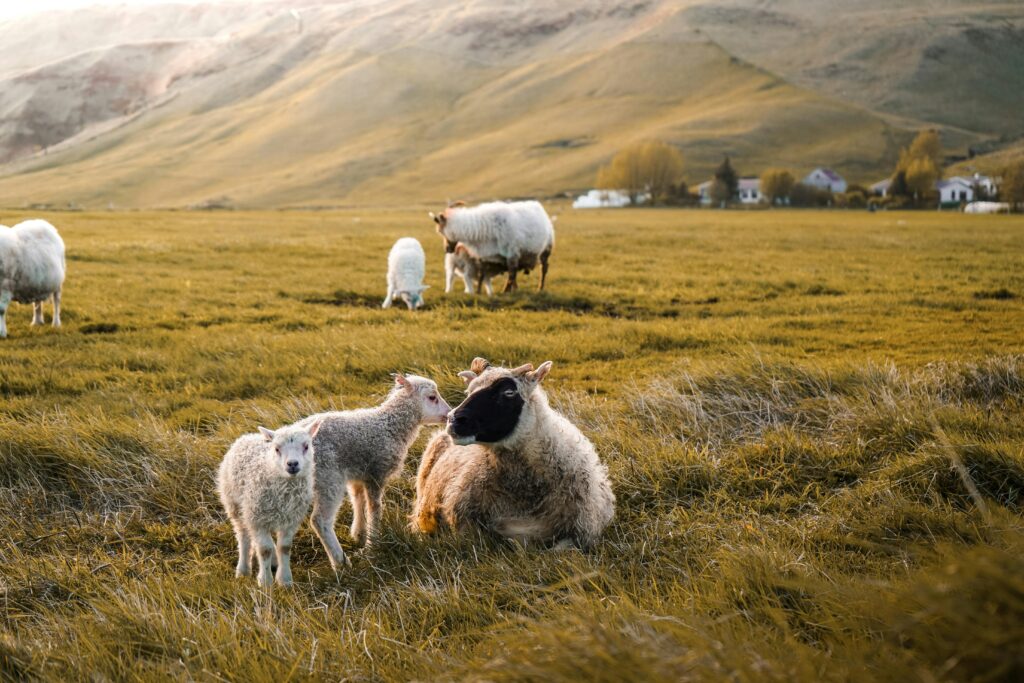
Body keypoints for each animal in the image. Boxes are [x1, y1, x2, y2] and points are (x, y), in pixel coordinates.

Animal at [218, 417, 321, 589]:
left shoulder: (290, 519)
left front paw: (285, 580)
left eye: (306, 446)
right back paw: (243, 569)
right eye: (277, 449)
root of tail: (247, 436)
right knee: (243, 536)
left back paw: (272, 562)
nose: (292, 464)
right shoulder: (257, 518)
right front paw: (265, 582)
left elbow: (284, 548)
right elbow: (264, 549)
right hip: (235, 505)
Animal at [299, 374, 452, 573]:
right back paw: (341, 563)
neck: (390, 425)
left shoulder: (357, 473)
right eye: (432, 397)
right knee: (320, 521)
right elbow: (374, 507)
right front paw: (373, 543)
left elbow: (358, 500)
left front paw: (359, 534)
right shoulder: (376, 472)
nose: (450, 414)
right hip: (327, 476)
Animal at [432, 200, 561, 290]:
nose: (447, 249)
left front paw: (506, 292)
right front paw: (478, 293)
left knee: (543, 269)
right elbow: (482, 276)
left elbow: (511, 275)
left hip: (546, 249)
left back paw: (540, 288)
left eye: (441, 232)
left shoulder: (512, 254)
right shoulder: (486, 256)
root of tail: (539, 207)